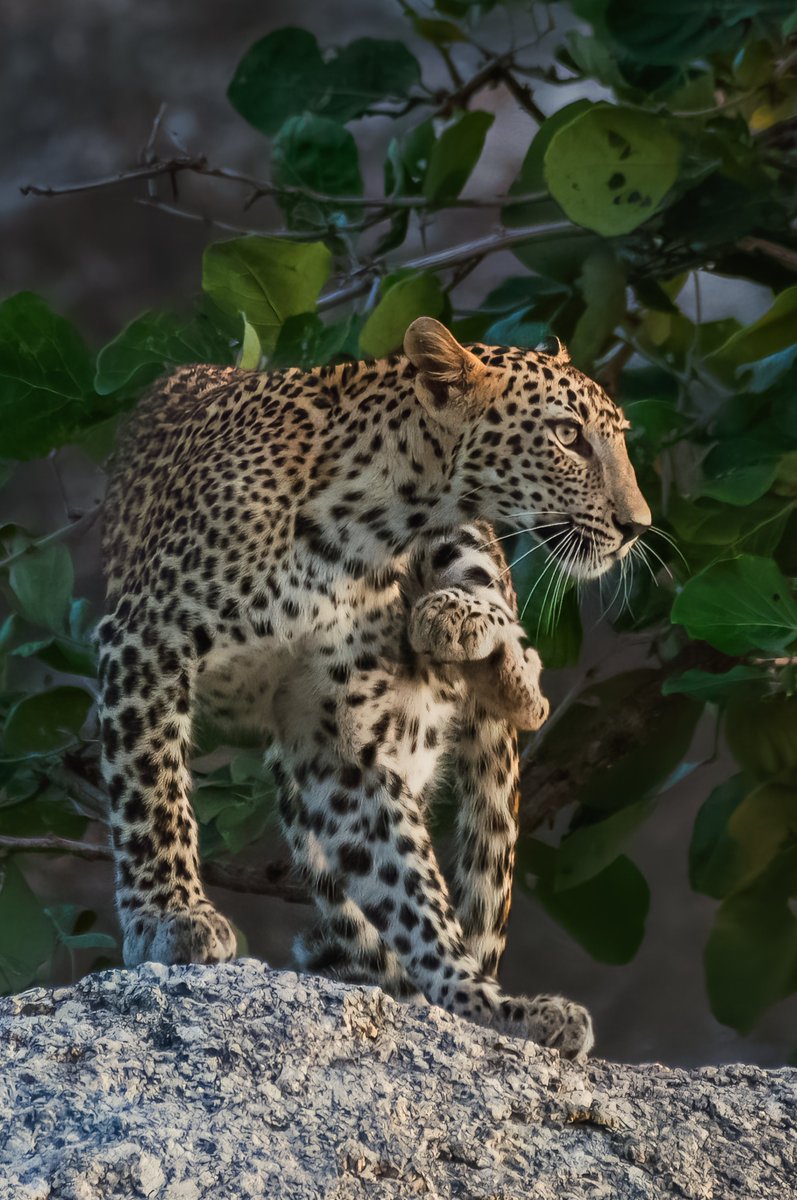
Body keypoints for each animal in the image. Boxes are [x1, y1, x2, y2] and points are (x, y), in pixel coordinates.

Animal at [96, 316, 652, 1060]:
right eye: (567, 435)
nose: (636, 526)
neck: (368, 526)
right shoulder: (146, 644)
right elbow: (151, 794)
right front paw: (171, 915)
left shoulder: (337, 739)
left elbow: (410, 887)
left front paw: (481, 1004)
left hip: (466, 568)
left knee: (519, 679)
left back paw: (459, 631)